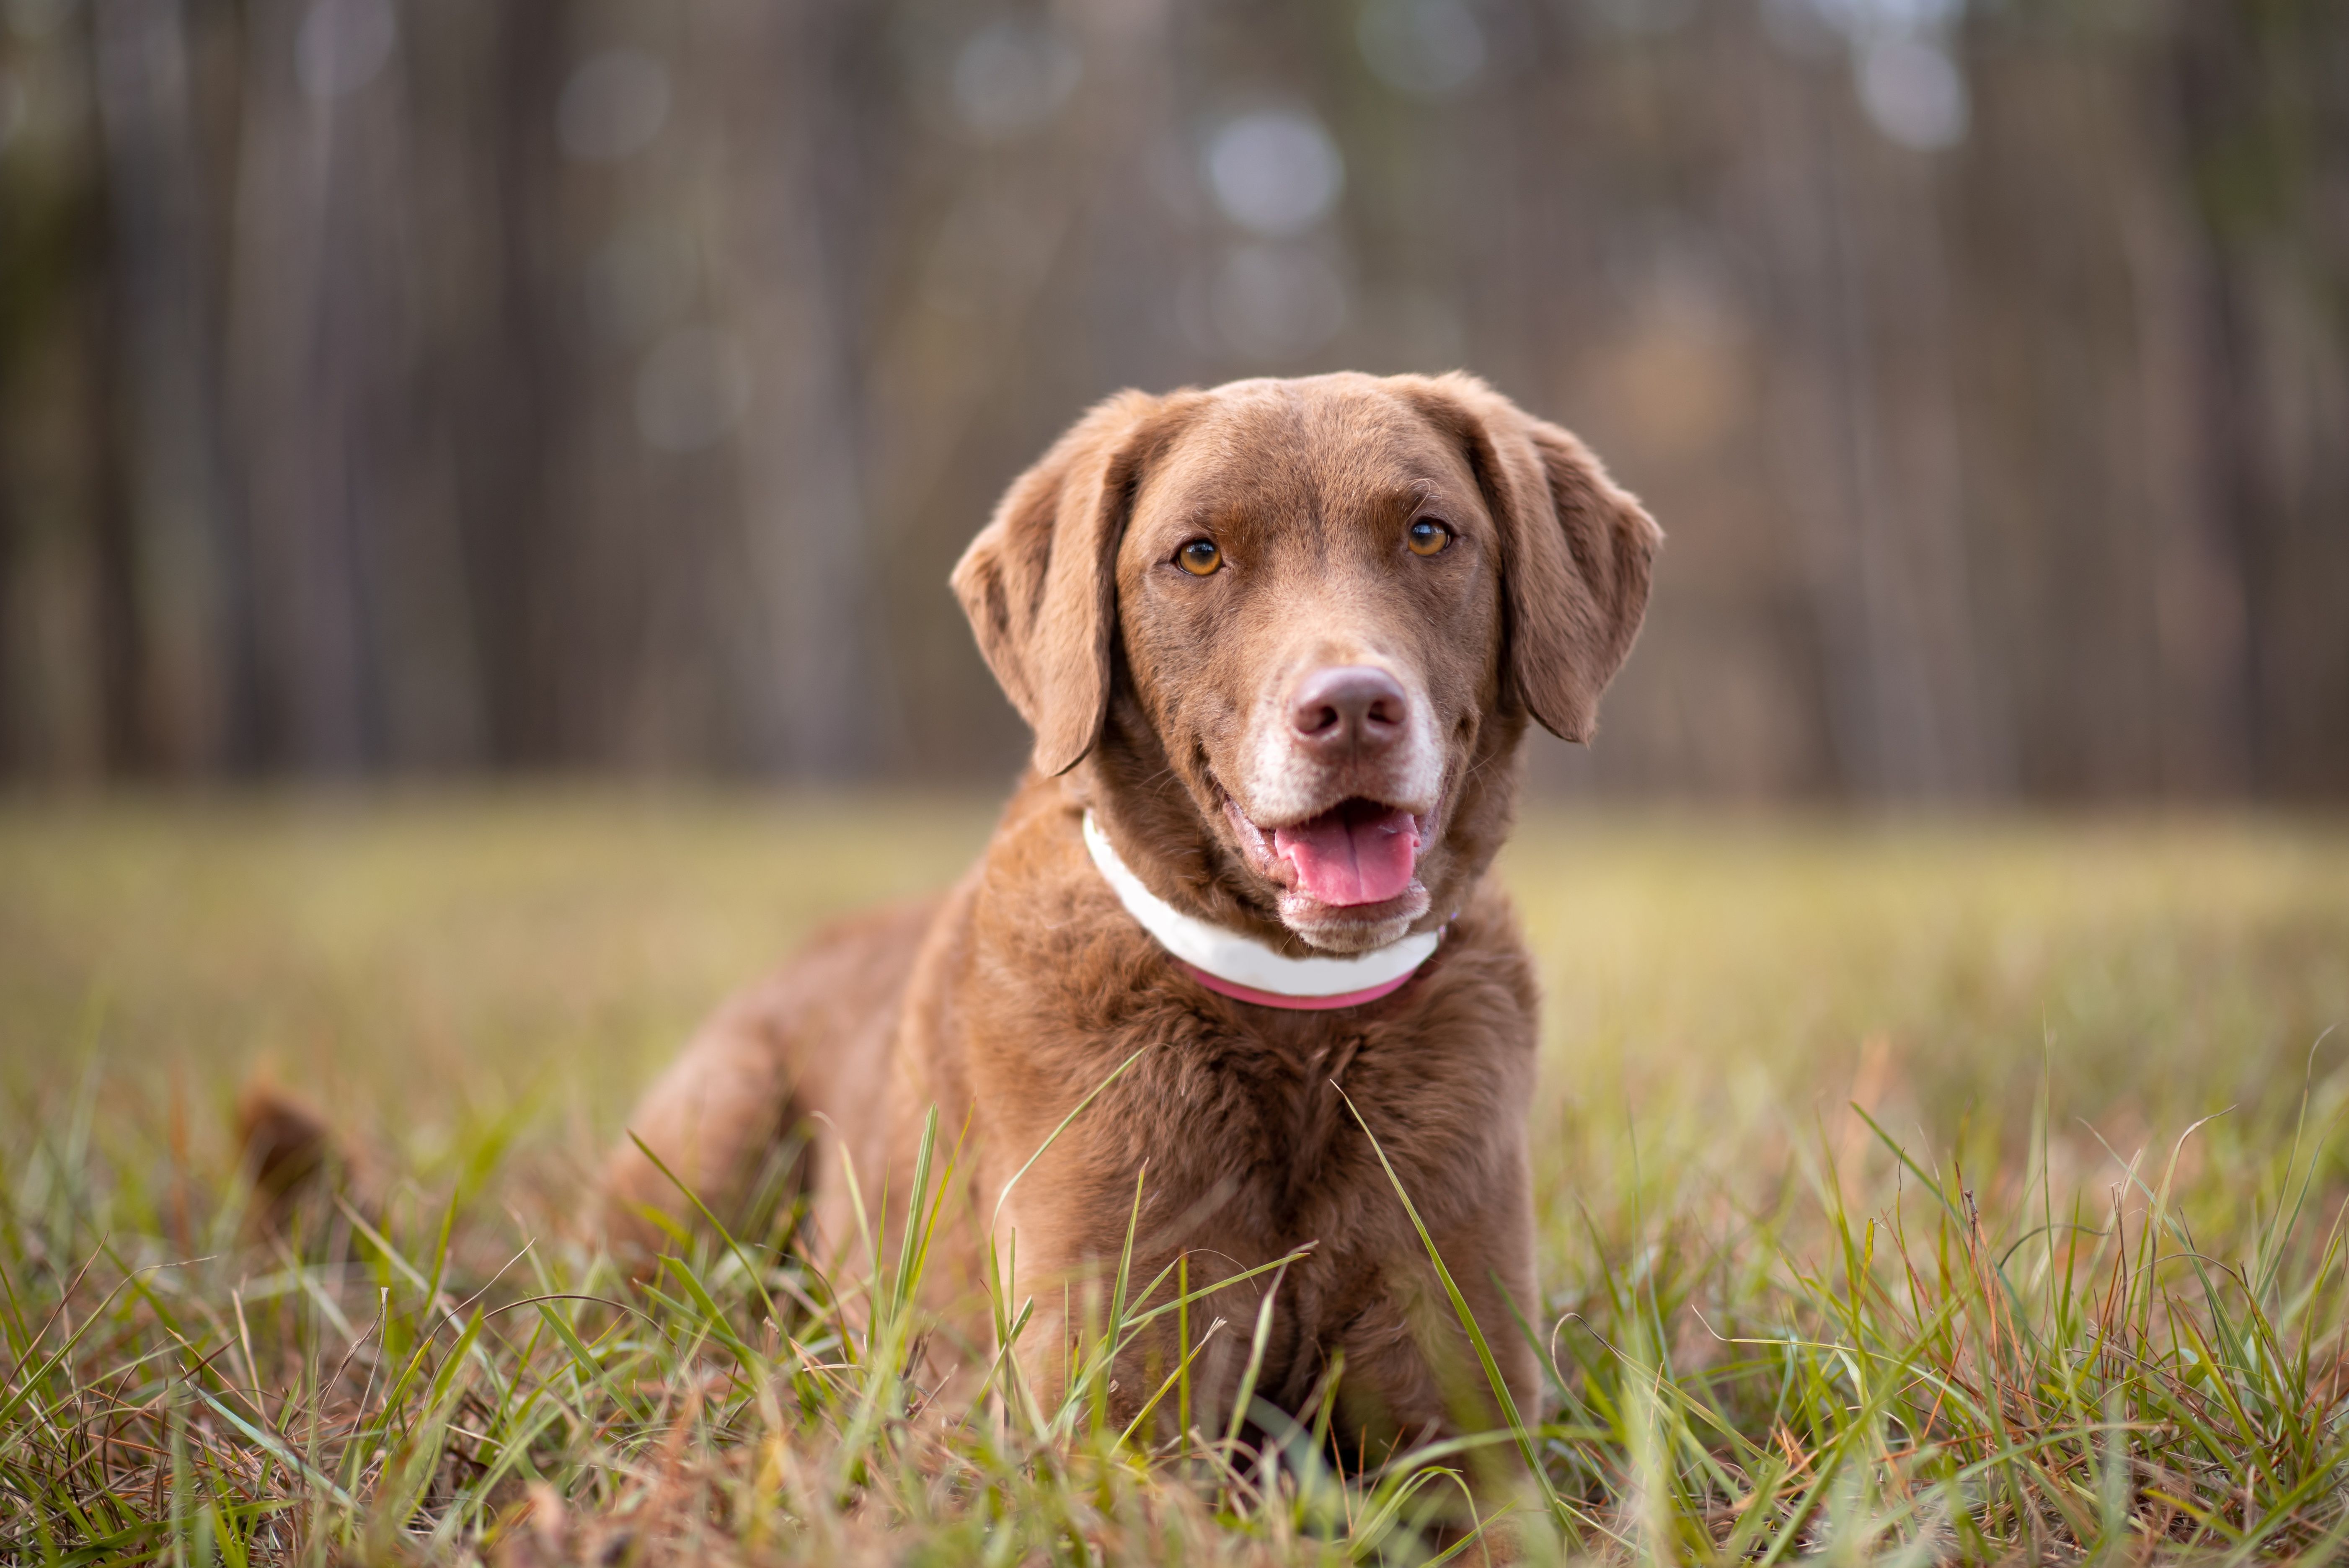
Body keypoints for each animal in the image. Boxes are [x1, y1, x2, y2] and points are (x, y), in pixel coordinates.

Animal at [601, 373, 1654, 1465]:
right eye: (1197, 554)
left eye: (1429, 532)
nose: (1356, 709)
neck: (1298, 1028)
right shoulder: (1113, 1417)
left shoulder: (1463, 1421)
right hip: (714, 1131)